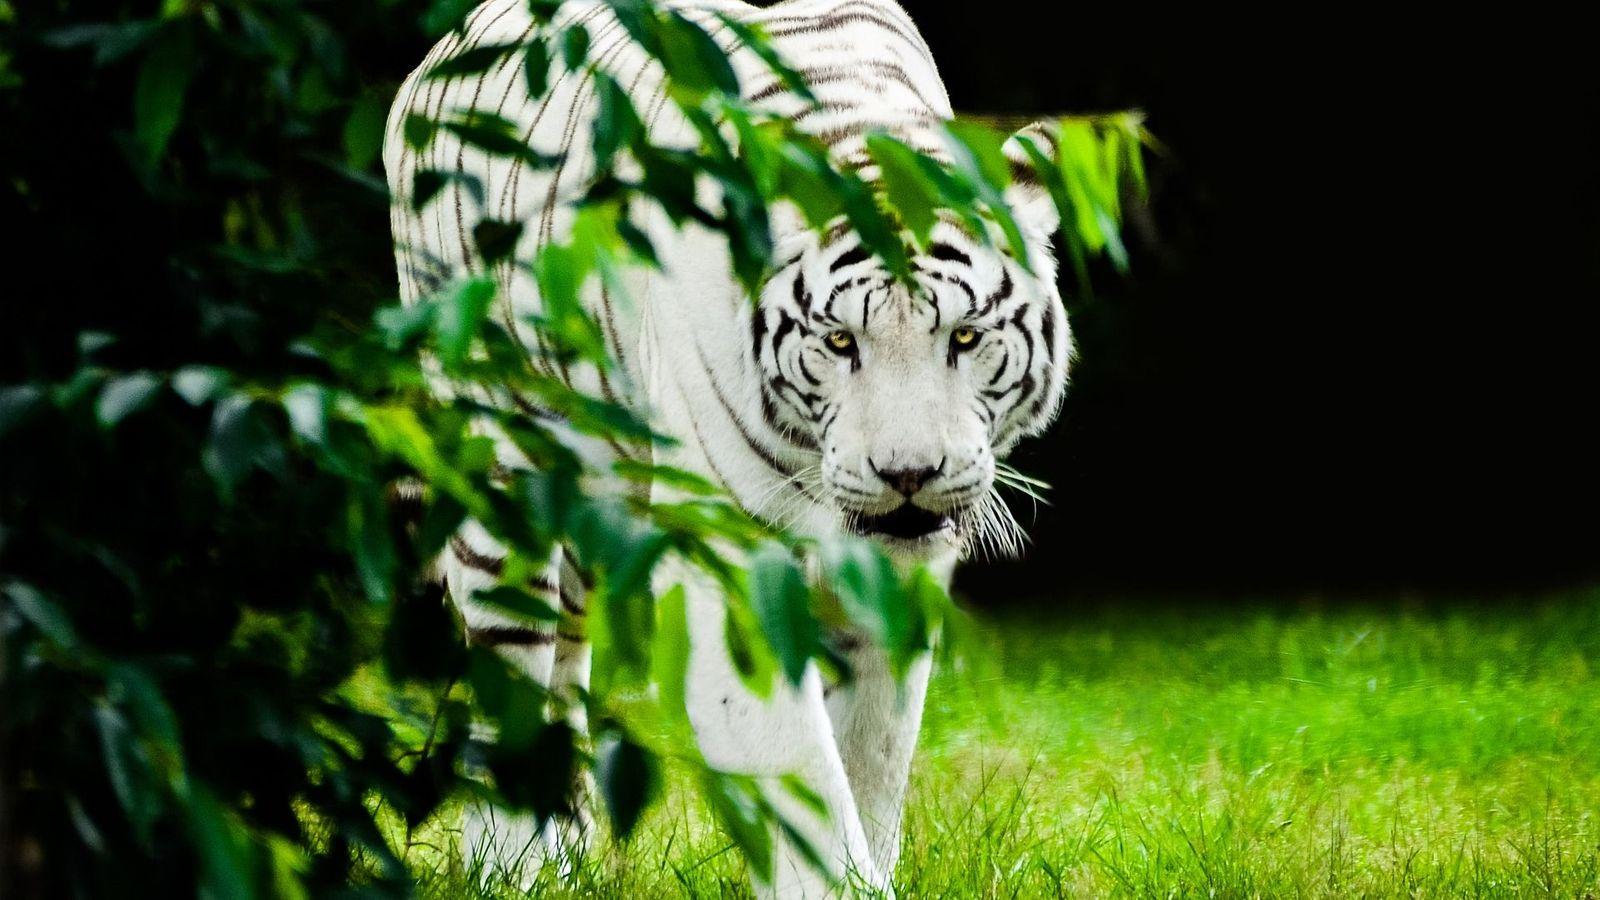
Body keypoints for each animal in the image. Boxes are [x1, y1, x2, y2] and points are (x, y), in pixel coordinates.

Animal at [383, 0, 1072, 895]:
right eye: (840, 341)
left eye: (963, 336)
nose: (908, 474)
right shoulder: (734, 557)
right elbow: (801, 769)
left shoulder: (897, 575)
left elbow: (874, 754)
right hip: (500, 467)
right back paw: (515, 869)